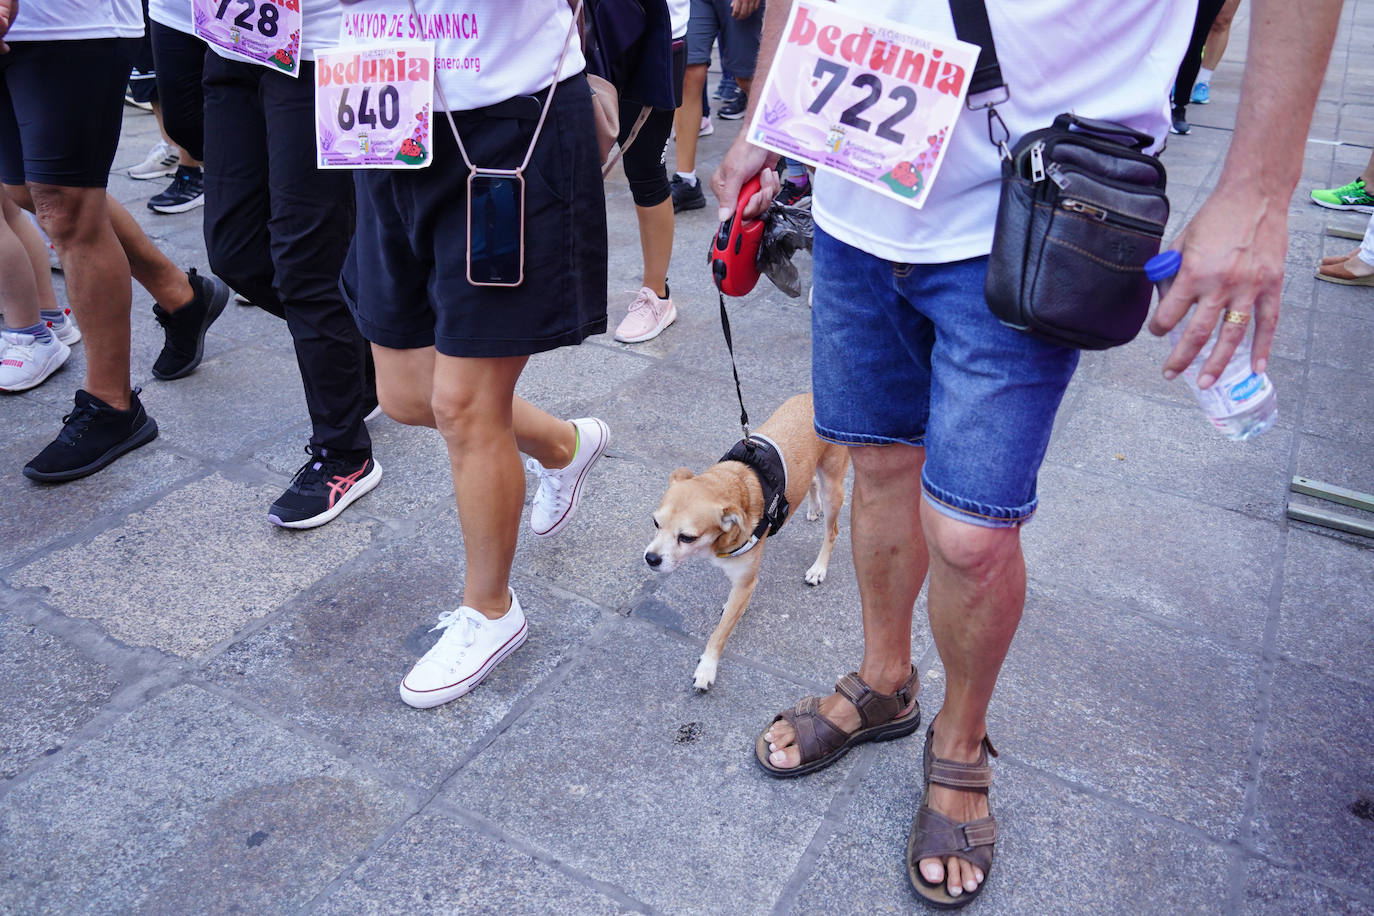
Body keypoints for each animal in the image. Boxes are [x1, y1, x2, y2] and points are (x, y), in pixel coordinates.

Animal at [643, 395, 846, 686]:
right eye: (655, 523)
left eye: (687, 538)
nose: (651, 559)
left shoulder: (745, 582)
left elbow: (720, 632)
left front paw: (707, 667)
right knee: (811, 483)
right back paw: (813, 507)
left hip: (833, 487)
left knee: (832, 532)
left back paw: (819, 568)